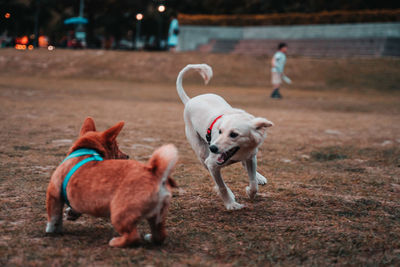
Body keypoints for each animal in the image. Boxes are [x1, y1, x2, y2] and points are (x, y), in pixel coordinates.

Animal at [45, 118, 178, 248]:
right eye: (116, 146)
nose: (127, 155)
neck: (87, 151)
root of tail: (155, 172)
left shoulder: (53, 192)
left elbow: (53, 216)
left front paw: (51, 231)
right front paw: (71, 214)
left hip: (119, 214)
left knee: (133, 237)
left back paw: (116, 242)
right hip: (157, 217)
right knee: (160, 235)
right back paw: (150, 238)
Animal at [177, 63, 274, 210]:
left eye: (234, 134)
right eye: (220, 131)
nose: (212, 148)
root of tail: (190, 100)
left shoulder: (251, 156)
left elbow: (253, 183)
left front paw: (251, 191)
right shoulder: (212, 164)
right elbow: (221, 186)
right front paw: (231, 203)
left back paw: (259, 177)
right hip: (201, 151)